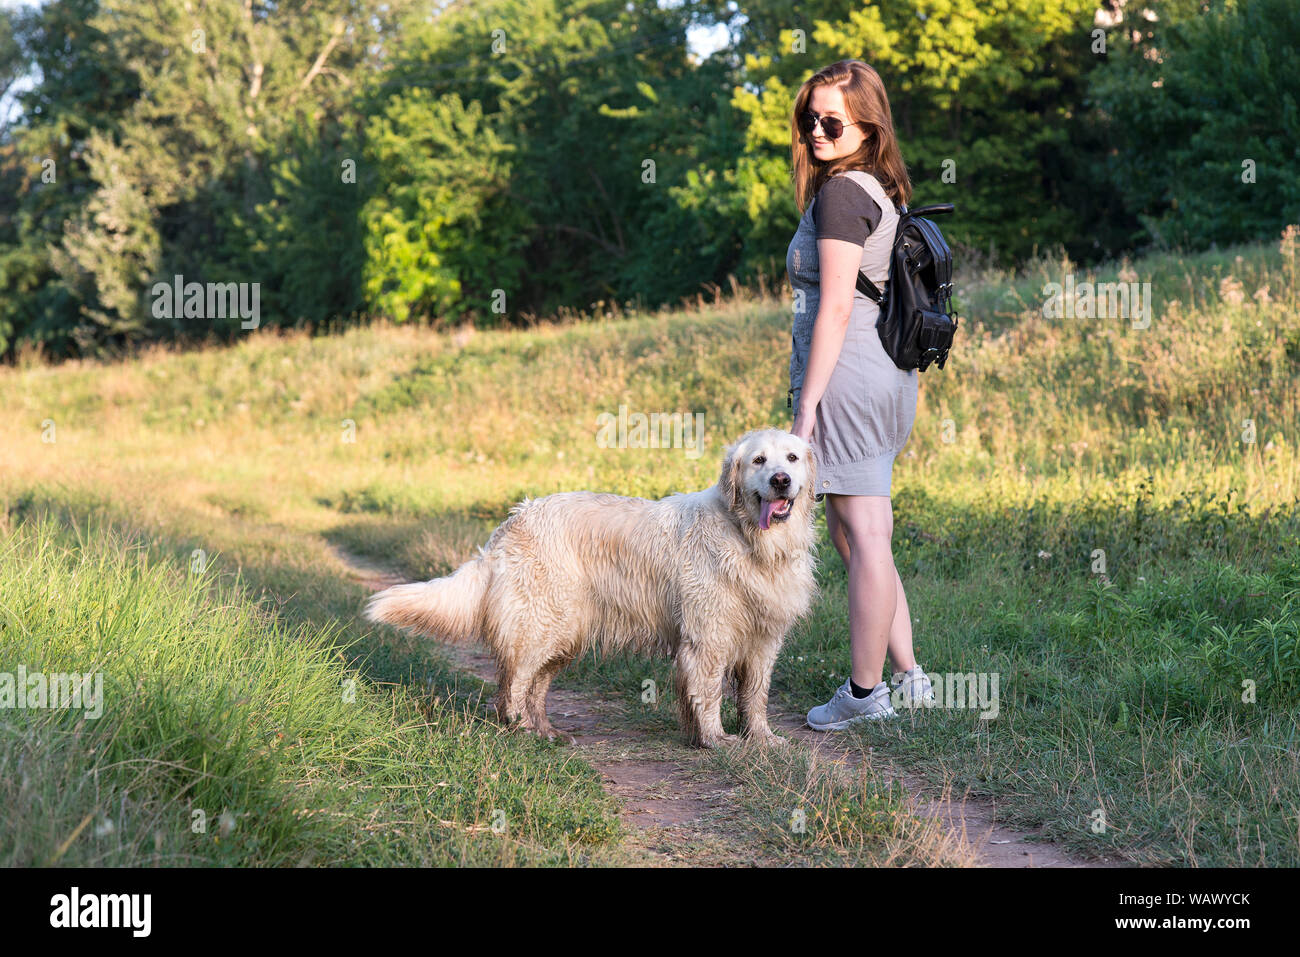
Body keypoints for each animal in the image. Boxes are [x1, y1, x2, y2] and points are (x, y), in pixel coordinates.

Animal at [361, 429, 816, 748]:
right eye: (758, 459)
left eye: (792, 458)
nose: (781, 480)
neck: (751, 540)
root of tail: (512, 521)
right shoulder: (708, 637)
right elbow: (707, 695)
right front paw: (716, 739)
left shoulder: (763, 640)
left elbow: (755, 695)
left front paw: (762, 738)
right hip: (541, 624)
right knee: (514, 685)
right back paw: (522, 730)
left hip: (564, 632)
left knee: (535, 687)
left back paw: (545, 731)